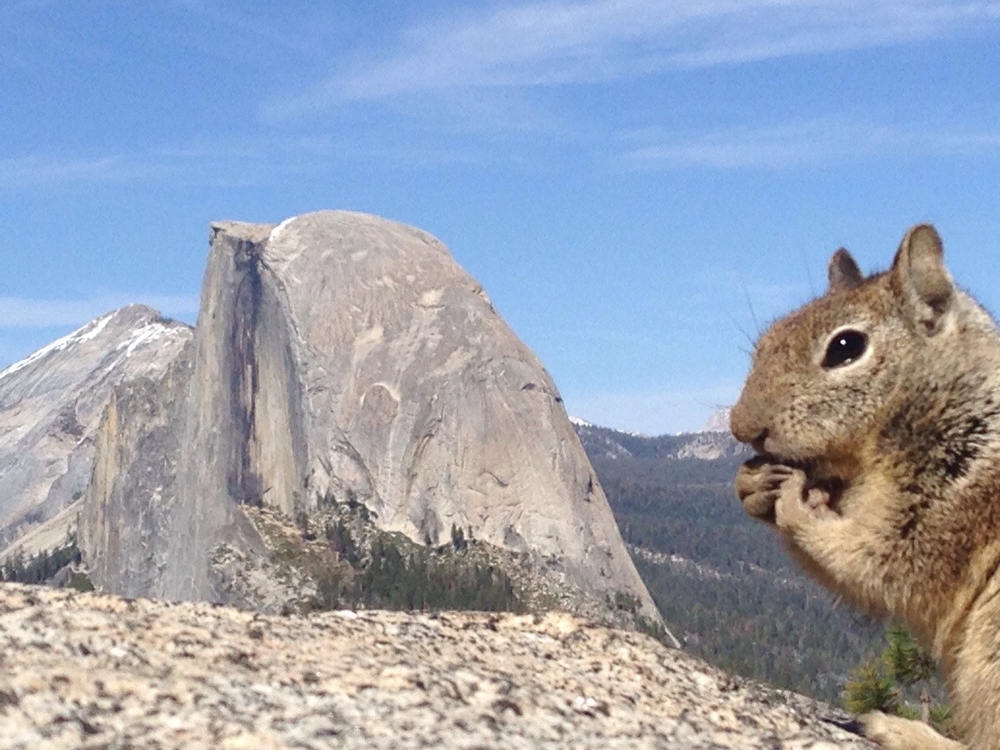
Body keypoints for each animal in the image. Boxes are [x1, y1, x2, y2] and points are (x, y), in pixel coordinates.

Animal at [728, 225, 1000, 750]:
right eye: (768, 339)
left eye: (845, 347)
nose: (741, 427)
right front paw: (752, 484)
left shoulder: (943, 499)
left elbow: (876, 563)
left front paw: (798, 507)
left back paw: (900, 729)